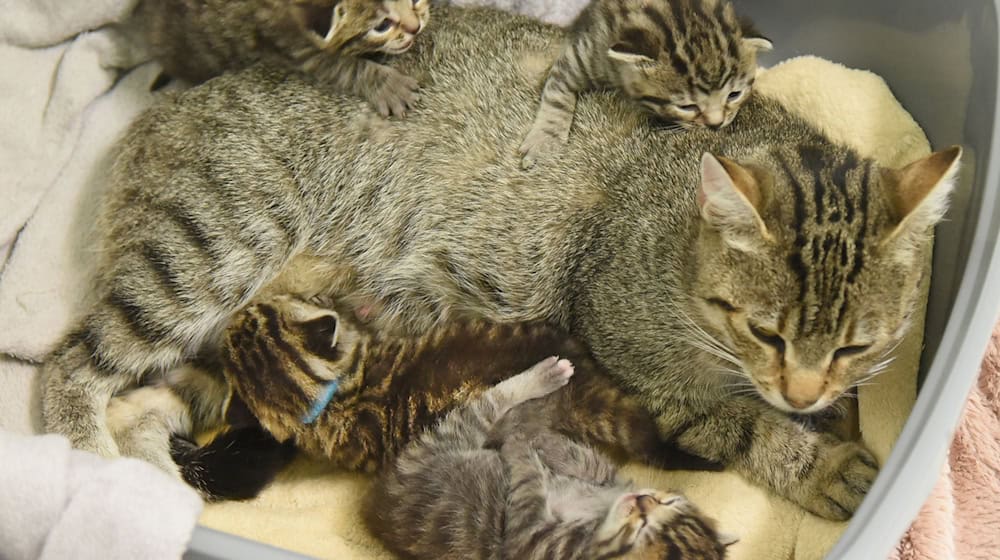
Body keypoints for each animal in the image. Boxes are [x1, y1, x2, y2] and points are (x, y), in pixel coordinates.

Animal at [364, 358, 732, 560]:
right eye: (669, 501)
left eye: (642, 530)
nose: (642, 499)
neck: (600, 515)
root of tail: (379, 499)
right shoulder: (608, 477)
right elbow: (584, 460)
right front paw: (542, 446)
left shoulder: (531, 537)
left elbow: (529, 481)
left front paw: (522, 448)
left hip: (450, 436)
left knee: (492, 402)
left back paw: (538, 385)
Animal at [520, 0, 768, 167]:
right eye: (687, 106)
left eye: (734, 95)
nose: (716, 124)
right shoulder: (582, 53)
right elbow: (557, 91)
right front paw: (545, 142)